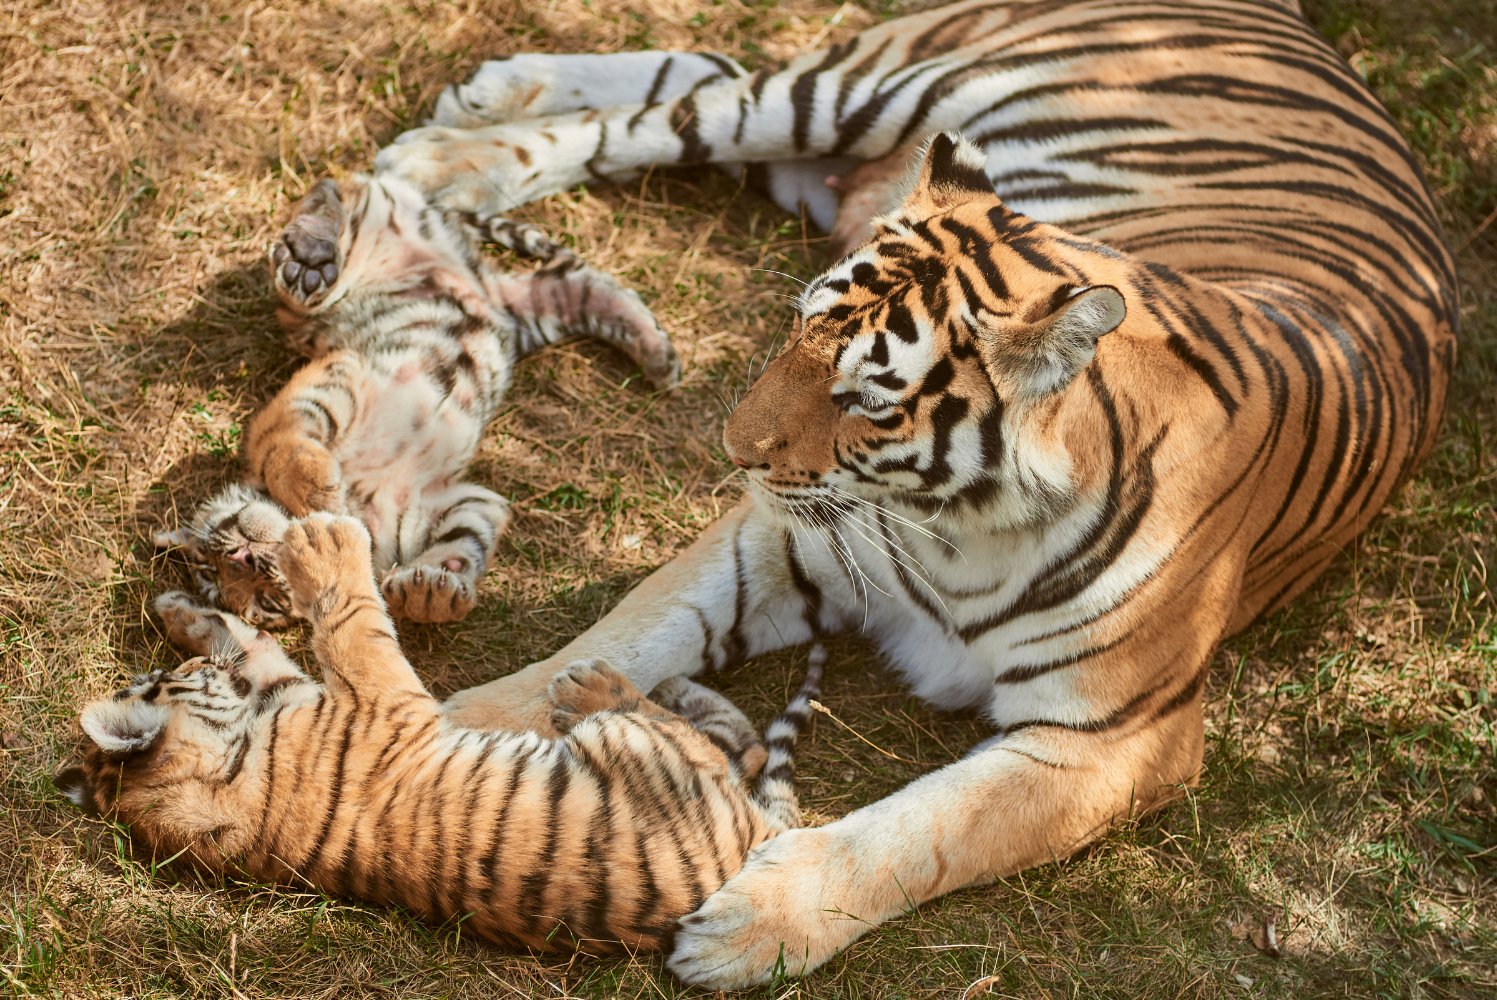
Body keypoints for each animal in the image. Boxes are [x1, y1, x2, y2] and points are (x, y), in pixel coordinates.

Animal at [58, 513, 822, 954]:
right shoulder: (380, 698)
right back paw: (598, 687)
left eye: (161, 671)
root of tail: (758, 837)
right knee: (712, 741)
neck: (233, 769)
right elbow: (353, 620)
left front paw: (179, 610)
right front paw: (326, 542)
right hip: (642, 754)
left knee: (747, 744)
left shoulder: (292, 690)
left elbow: (252, 643)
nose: (182, 665)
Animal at [155, 172, 679, 627]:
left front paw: (316, 491)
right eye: (262, 602)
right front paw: (430, 591)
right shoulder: (457, 500)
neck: (359, 497)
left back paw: (309, 252)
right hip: (538, 311)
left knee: (335, 192)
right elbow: (466, 541)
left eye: (213, 558)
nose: (242, 558)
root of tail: (477, 279)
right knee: (585, 286)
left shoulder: (342, 372)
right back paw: (660, 355)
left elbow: (277, 444)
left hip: (365, 237)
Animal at [364, 0, 1460, 987]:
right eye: (799, 325)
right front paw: (460, 730)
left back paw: (486, 99)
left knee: (704, 74)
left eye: (867, 397)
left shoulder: (1114, 737)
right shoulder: (779, 541)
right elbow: (624, 632)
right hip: (870, 91)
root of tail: (1301, 28)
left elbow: (929, 828)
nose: (734, 449)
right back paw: (443, 154)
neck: (964, 525)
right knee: (674, 109)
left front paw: (754, 924)